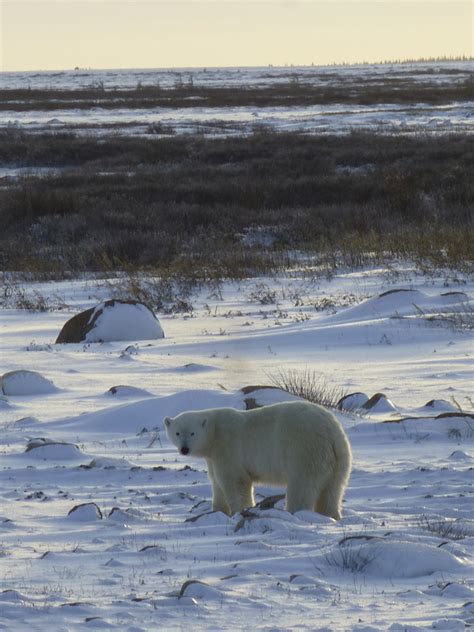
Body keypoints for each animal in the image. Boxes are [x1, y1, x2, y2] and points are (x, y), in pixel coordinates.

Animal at [164, 402, 352, 520]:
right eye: (177, 433)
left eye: (192, 433)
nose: (184, 449)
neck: (214, 433)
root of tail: (329, 432)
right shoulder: (213, 457)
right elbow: (216, 482)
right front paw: (218, 510)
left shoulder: (228, 447)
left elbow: (235, 481)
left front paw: (240, 510)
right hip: (340, 457)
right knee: (333, 489)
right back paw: (331, 515)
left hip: (305, 450)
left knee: (302, 485)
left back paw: (295, 512)